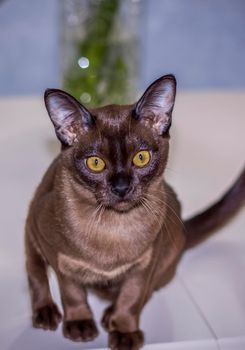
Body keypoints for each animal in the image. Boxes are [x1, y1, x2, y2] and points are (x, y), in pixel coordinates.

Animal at [25, 75, 245, 350]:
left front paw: (124, 333)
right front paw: (80, 326)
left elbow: (132, 297)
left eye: (141, 158)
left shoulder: (146, 262)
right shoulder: (58, 256)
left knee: (145, 291)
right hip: (31, 223)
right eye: (95, 163)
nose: (121, 187)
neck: (113, 228)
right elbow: (72, 292)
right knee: (35, 272)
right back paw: (46, 314)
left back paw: (109, 316)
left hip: (170, 253)